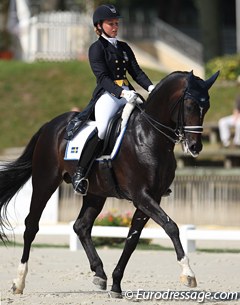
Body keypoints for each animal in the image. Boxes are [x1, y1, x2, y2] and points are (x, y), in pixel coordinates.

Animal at [0, 70, 218, 296]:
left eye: (207, 106)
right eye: (190, 105)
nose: (195, 147)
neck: (149, 136)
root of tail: (50, 125)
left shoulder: (152, 197)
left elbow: (132, 239)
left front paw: (116, 283)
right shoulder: (141, 196)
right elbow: (171, 226)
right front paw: (188, 274)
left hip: (95, 193)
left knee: (81, 226)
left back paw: (99, 274)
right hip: (45, 182)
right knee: (31, 226)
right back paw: (19, 282)